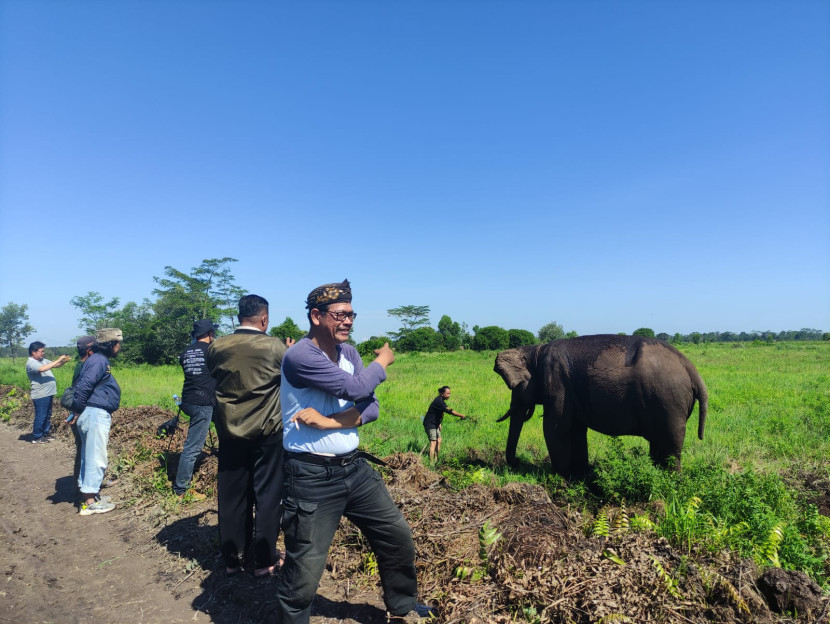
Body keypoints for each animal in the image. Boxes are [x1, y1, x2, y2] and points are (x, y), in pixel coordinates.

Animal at [494, 336, 708, 478]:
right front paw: (579, 475)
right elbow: (576, 430)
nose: (516, 463)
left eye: (516, 385)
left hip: (669, 402)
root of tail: (691, 368)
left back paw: (672, 482)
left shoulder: (557, 381)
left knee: (670, 444)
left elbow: (555, 428)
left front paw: (559, 476)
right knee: (659, 443)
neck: (536, 350)